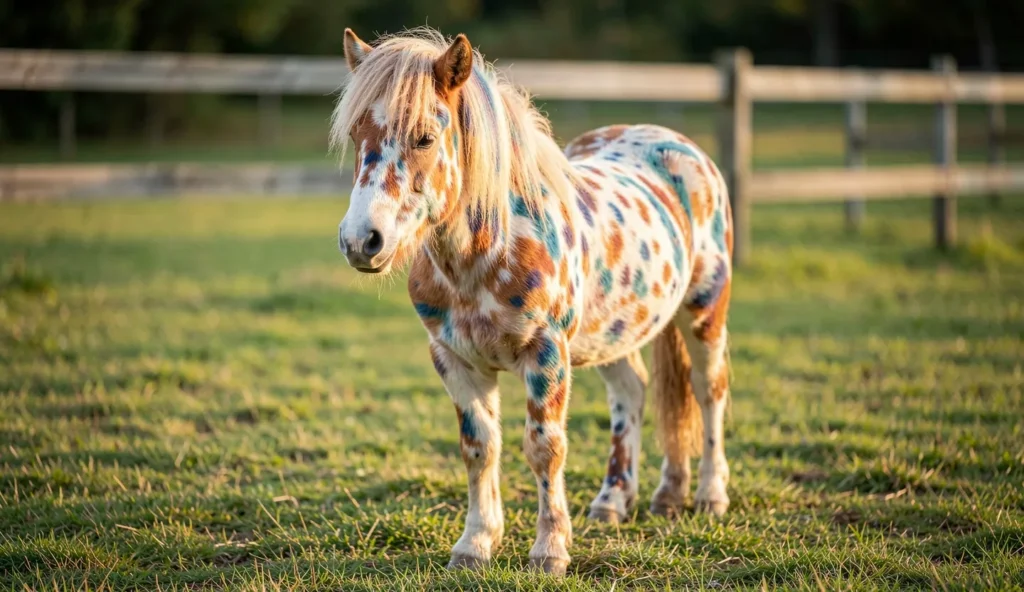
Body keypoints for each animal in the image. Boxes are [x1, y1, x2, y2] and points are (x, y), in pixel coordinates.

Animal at [332, 27, 734, 575]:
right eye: (356, 135)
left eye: (425, 138)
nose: (361, 240)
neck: (485, 254)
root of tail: (680, 147)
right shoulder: (455, 359)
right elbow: (479, 448)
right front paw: (475, 544)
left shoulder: (547, 355)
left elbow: (545, 448)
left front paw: (550, 550)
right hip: (614, 332)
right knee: (634, 391)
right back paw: (630, 498)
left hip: (703, 313)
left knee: (707, 390)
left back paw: (711, 496)